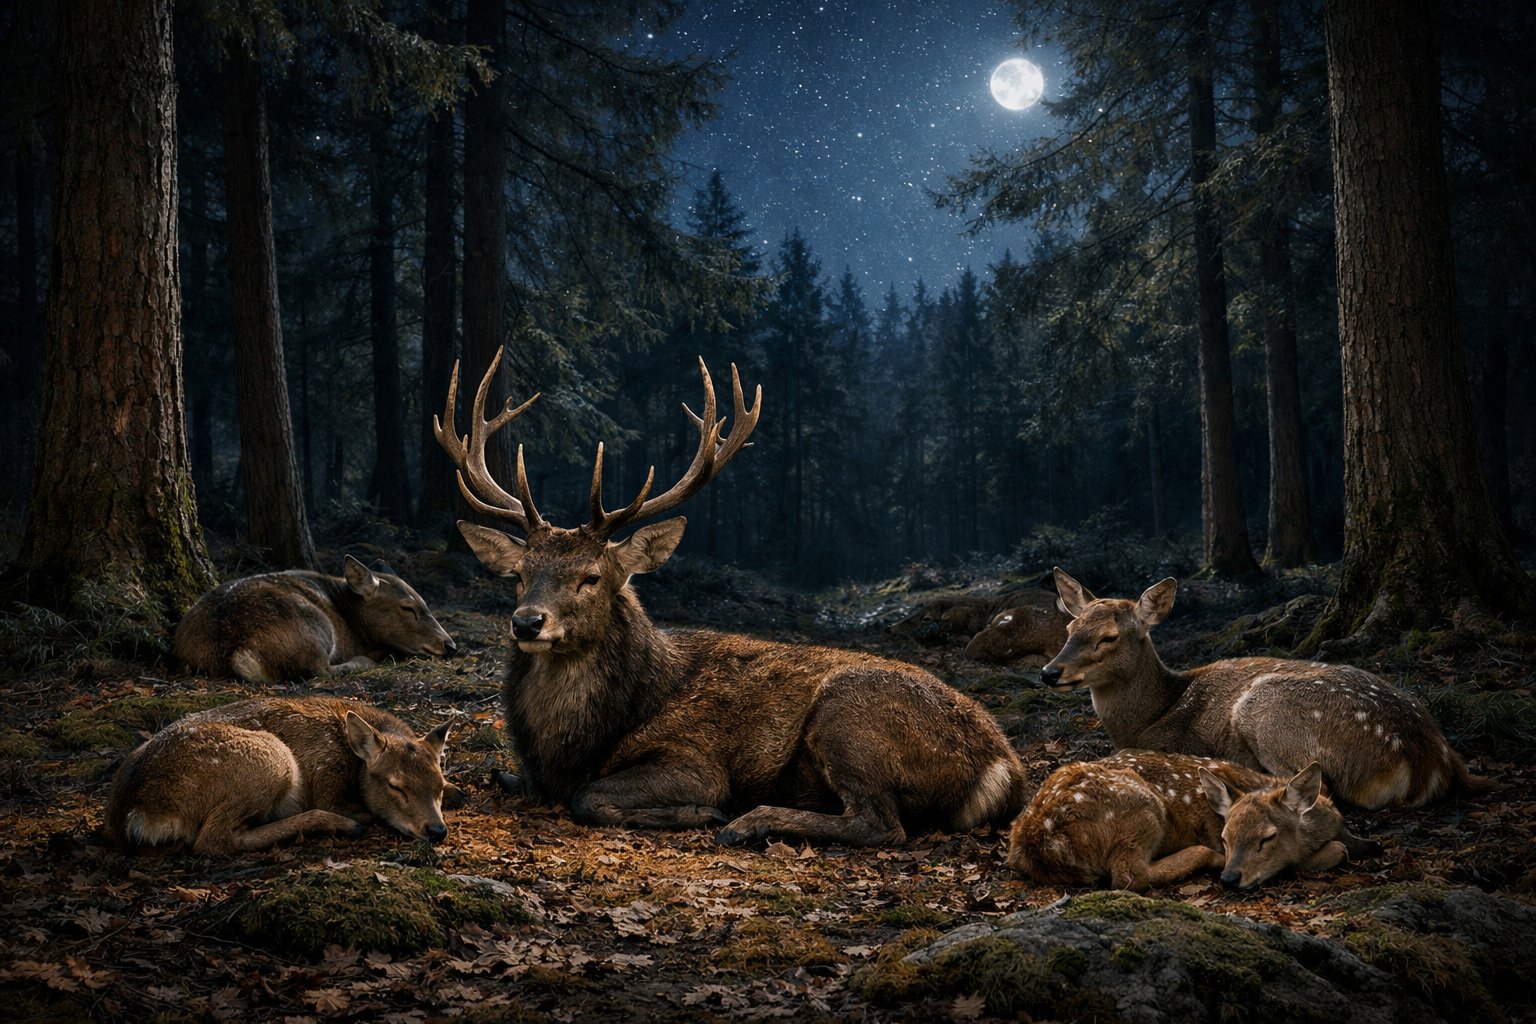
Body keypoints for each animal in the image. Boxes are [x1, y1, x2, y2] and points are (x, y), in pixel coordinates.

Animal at [105, 696, 452, 854]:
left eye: (440, 785)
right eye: (396, 785)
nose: (437, 830)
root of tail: (137, 812)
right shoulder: (326, 783)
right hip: (270, 758)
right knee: (212, 839)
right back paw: (343, 824)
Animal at [173, 556, 456, 682]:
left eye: (425, 603)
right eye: (407, 607)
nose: (450, 645)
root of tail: (233, 652)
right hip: (316, 628)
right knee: (319, 669)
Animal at [434, 349, 1028, 846]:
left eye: (592, 577)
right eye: (519, 574)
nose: (527, 622)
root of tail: (1002, 770)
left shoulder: (695, 760)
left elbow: (588, 797)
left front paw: (697, 813)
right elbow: (511, 777)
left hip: (849, 714)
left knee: (881, 824)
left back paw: (748, 821)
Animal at [1007, 750, 1377, 891]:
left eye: (1267, 837)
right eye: (1225, 836)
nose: (1230, 878)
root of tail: (1038, 842)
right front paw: (1336, 850)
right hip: (1141, 809)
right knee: (1128, 875)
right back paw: (1206, 859)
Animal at [1040, 568, 1495, 809]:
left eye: (1108, 637)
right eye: (1070, 627)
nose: (1049, 672)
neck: (1152, 714)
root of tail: (1429, 762)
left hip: (1267, 708)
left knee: (1316, 787)